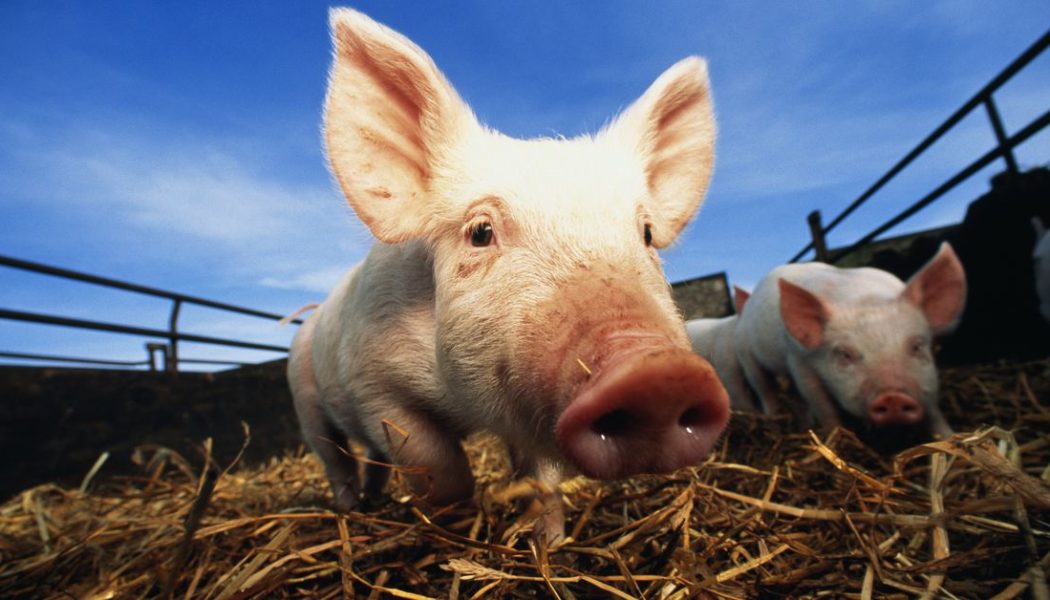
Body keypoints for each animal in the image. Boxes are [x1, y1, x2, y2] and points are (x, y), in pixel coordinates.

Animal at [287, 8, 730, 545]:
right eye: (481, 232)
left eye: (645, 233)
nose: (657, 371)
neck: (465, 410)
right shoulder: (372, 381)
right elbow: (438, 465)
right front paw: (456, 512)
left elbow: (543, 480)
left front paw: (549, 543)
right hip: (304, 400)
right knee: (336, 459)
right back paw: (352, 509)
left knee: (370, 459)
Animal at [733, 243, 966, 442]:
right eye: (845, 354)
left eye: (917, 346)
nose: (893, 397)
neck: (862, 298)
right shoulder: (798, 359)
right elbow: (822, 405)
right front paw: (837, 440)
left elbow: (933, 408)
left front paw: (949, 438)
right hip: (747, 355)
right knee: (765, 391)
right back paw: (774, 426)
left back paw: (804, 428)